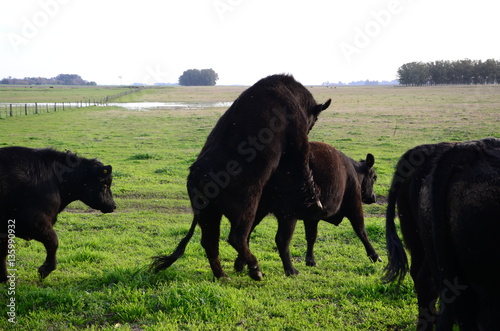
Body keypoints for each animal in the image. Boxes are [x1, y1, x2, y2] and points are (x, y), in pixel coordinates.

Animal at [0, 147, 115, 282]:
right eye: (105, 184)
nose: (113, 205)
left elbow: (3, 251)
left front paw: (4, 278)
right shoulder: (33, 222)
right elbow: (53, 242)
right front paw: (46, 269)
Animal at [152, 74, 332, 280]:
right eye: (314, 118)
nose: (311, 126)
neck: (290, 94)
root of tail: (200, 173)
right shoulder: (298, 142)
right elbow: (304, 167)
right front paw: (316, 200)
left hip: (209, 214)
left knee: (210, 242)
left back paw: (223, 276)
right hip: (247, 206)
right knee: (237, 237)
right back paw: (255, 269)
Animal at [236, 141, 380, 276]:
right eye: (374, 177)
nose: (373, 197)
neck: (353, 172)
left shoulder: (312, 217)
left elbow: (311, 236)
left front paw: (311, 261)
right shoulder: (354, 205)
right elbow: (361, 231)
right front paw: (374, 256)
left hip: (258, 209)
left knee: (244, 235)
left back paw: (241, 264)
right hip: (287, 215)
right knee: (281, 240)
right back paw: (290, 270)